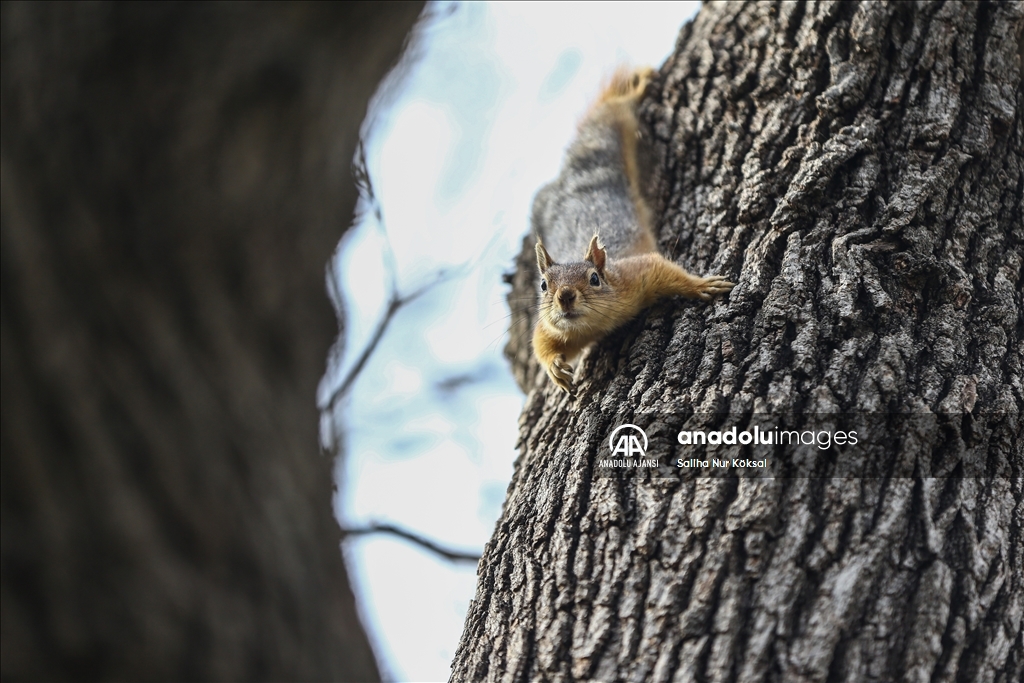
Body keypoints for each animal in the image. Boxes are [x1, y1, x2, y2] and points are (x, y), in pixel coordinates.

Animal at [532, 68, 733, 395]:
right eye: (543, 285)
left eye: (594, 278)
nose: (564, 297)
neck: (596, 325)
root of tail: (572, 171)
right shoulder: (555, 326)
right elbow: (540, 340)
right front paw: (554, 368)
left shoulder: (635, 273)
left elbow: (665, 269)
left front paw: (700, 285)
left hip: (608, 131)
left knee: (612, 108)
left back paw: (634, 86)